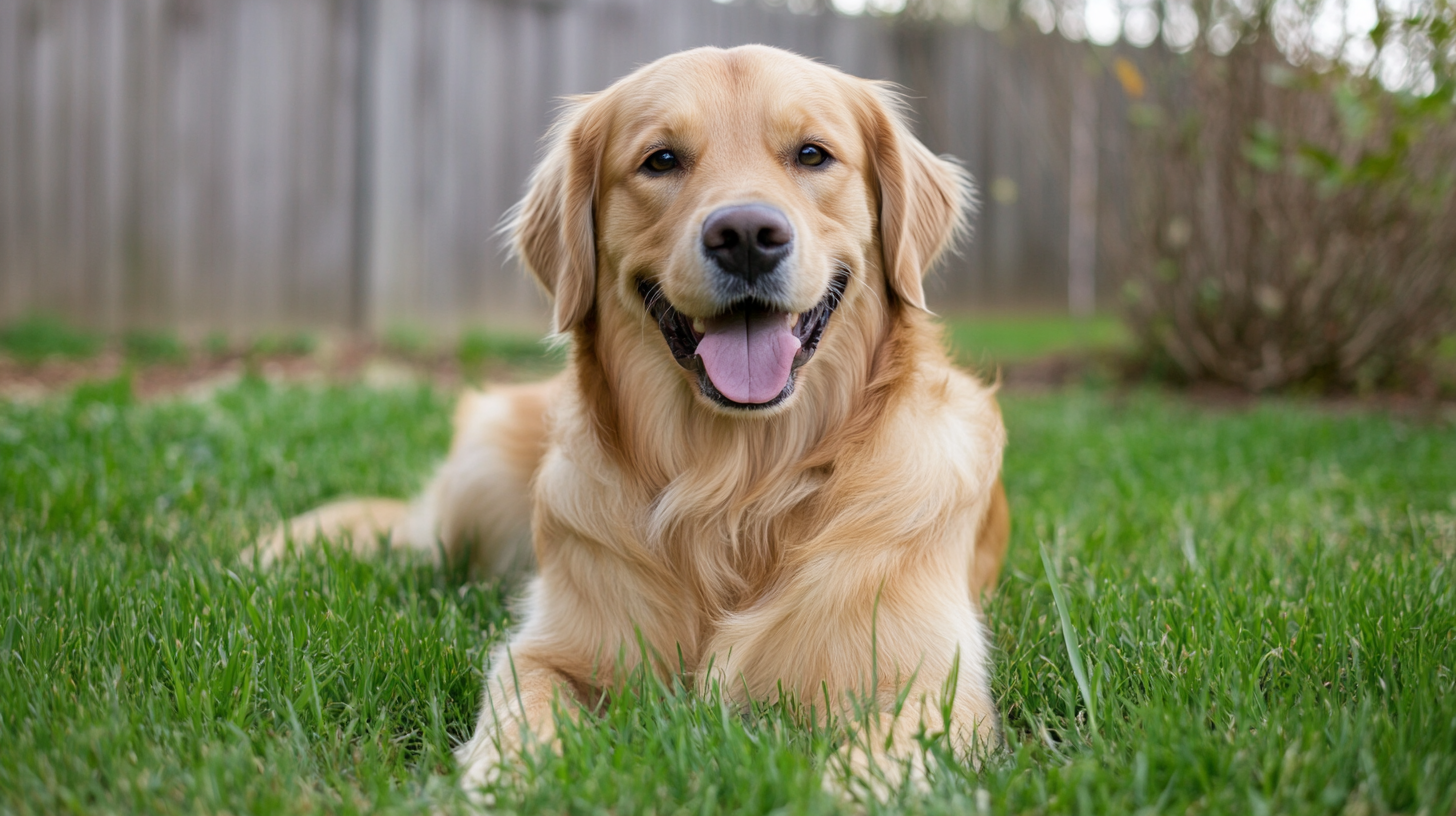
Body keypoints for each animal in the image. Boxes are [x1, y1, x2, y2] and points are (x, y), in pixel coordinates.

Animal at [256, 42, 1007, 792]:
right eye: (662, 160)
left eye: (813, 154)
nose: (745, 236)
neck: (735, 491)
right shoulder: (544, 651)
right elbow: (521, 717)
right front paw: (498, 787)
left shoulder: (931, 689)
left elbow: (866, 771)